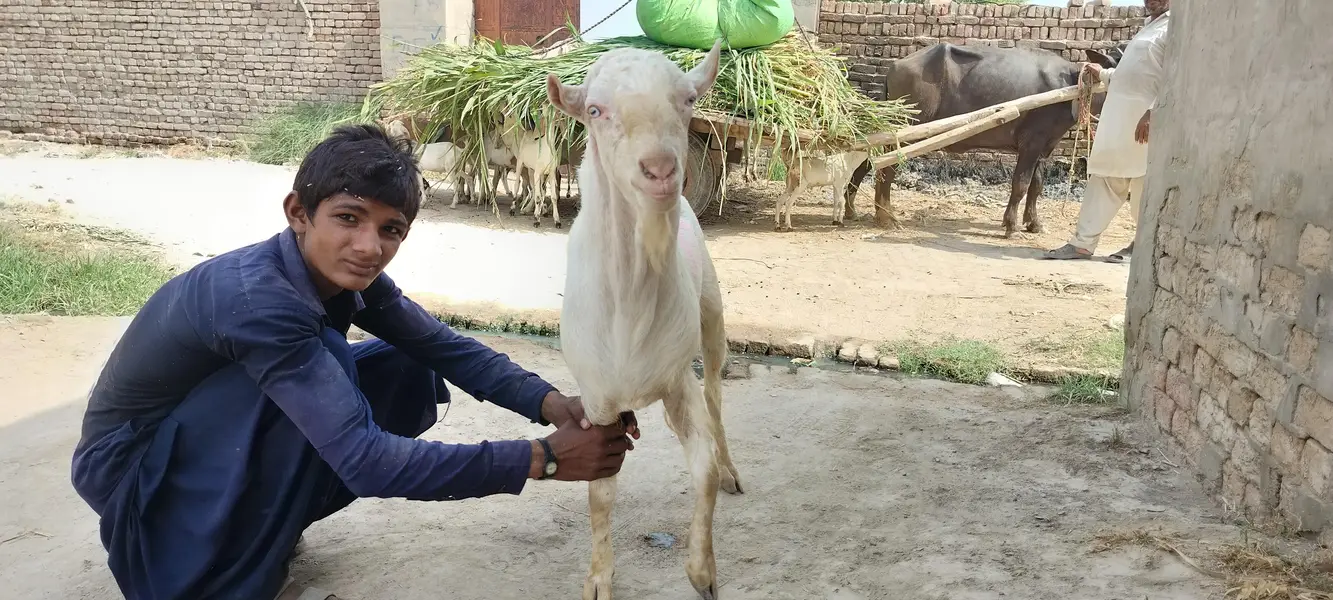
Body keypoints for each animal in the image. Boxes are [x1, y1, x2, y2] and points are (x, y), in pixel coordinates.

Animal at [547, 39, 741, 600]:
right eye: (594, 110)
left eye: (688, 100)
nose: (660, 170)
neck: (630, 310)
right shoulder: (597, 400)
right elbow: (600, 493)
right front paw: (598, 579)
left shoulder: (678, 379)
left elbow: (701, 471)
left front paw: (703, 572)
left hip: (711, 313)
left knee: (716, 397)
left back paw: (730, 468)